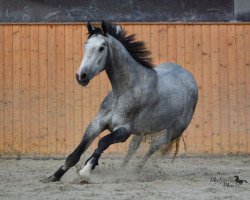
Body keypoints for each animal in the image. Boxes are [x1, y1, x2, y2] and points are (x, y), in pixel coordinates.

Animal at [47, 21, 198, 182]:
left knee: (153, 147)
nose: (81, 76)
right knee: (133, 147)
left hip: (174, 131)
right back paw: (121, 170)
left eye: (101, 48)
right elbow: (76, 153)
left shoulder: (124, 130)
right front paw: (54, 176)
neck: (124, 92)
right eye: (85, 44)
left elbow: (102, 142)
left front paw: (86, 170)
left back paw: (136, 171)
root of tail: (188, 75)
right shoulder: (96, 124)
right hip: (142, 130)